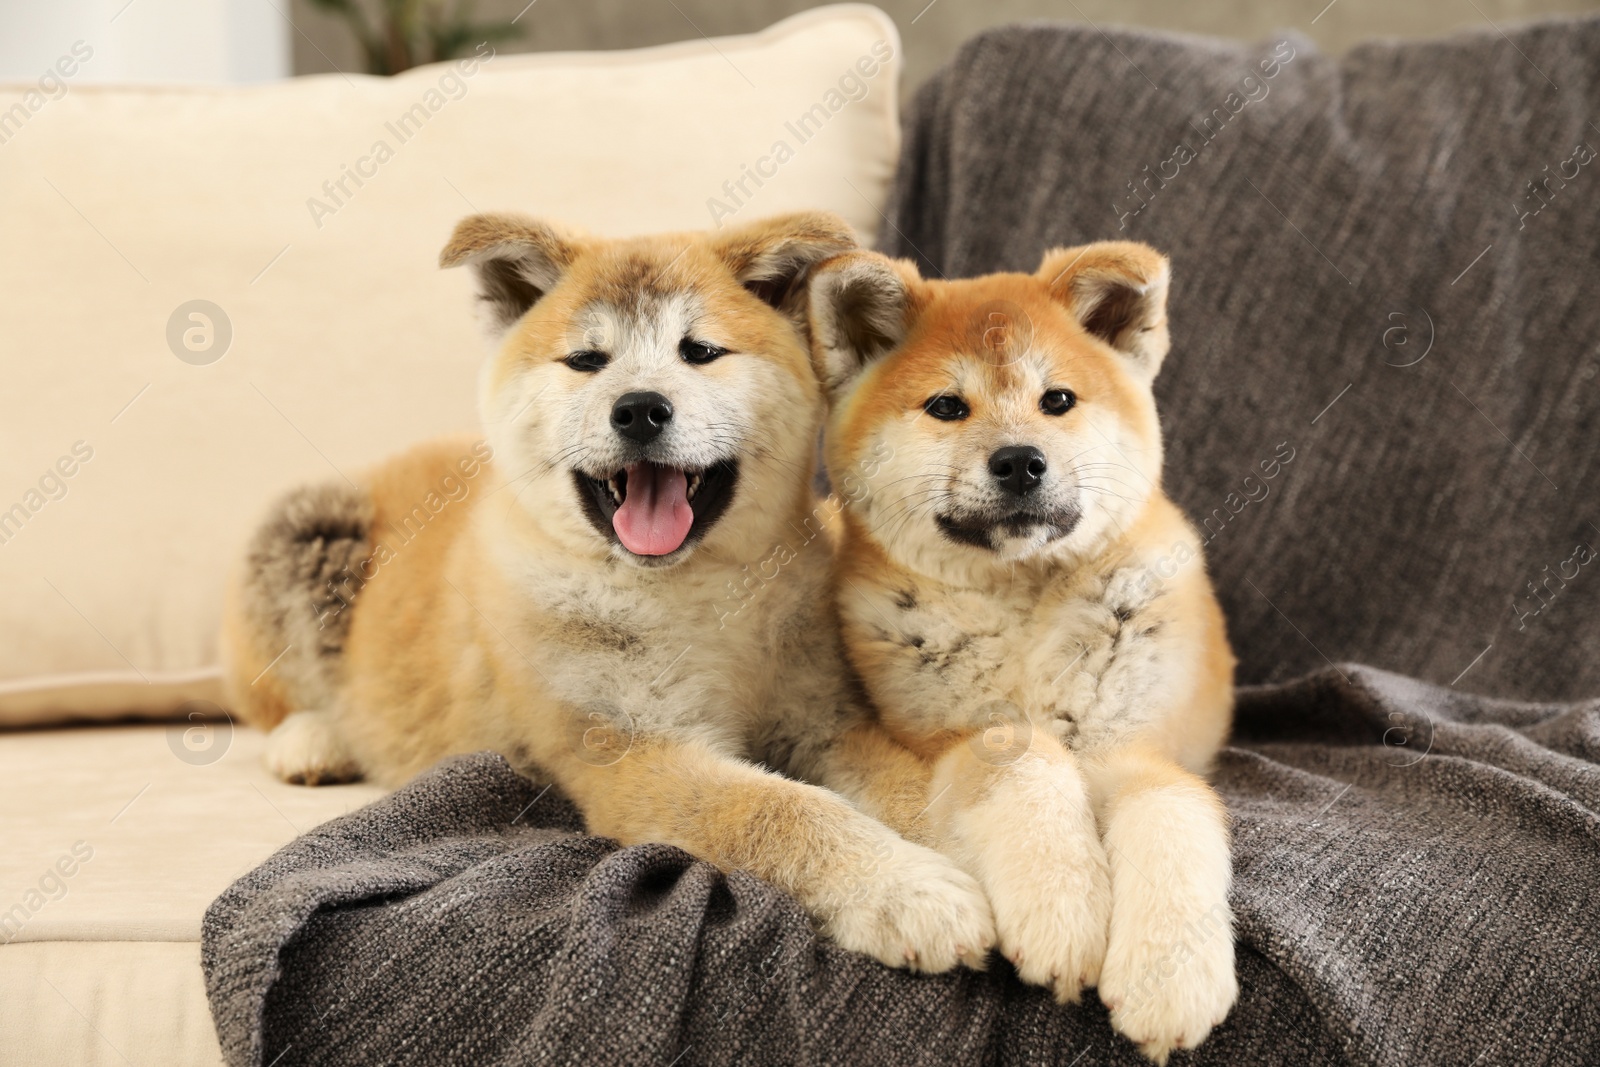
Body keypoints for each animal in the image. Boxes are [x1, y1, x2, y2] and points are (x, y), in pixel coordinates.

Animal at [222, 211, 998, 979]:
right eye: (586, 360)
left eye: (700, 351)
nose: (640, 409)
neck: (694, 595)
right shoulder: (630, 753)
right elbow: (779, 810)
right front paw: (908, 889)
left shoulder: (826, 720)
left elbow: (910, 787)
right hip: (306, 526)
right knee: (273, 696)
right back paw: (314, 738)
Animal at [812, 241, 1235, 1062]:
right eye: (948, 407)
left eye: (1058, 400)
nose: (1019, 461)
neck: (1022, 609)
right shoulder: (948, 740)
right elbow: (1028, 757)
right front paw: (1061, 906)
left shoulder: (1134, 750)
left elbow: (1175, 810)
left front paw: (1171, 971)